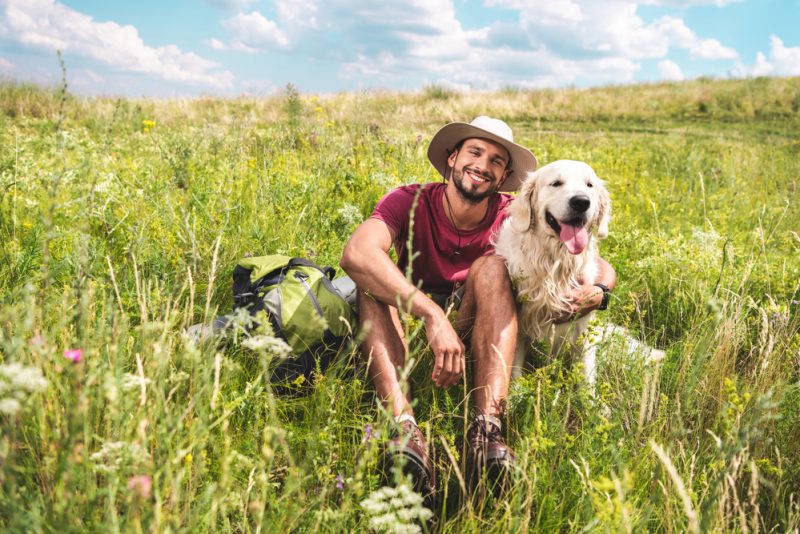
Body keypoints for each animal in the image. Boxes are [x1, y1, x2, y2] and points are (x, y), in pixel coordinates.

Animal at [494, 159, 612, 386]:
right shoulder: (520, 325)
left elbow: (586, 380)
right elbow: (515, 372)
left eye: (589, 185)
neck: (555, 261)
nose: (581, 202)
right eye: (556, 183)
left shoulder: (583, 328)